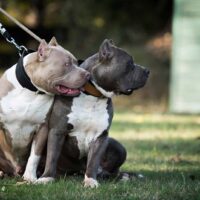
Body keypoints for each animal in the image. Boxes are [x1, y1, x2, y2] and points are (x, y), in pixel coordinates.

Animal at [0, 37, 89, 180]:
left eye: (76, 62)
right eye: (67, 64)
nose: (88, 74)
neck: (31, 91)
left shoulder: (42, 128)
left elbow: (34, 155)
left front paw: (30, 178)